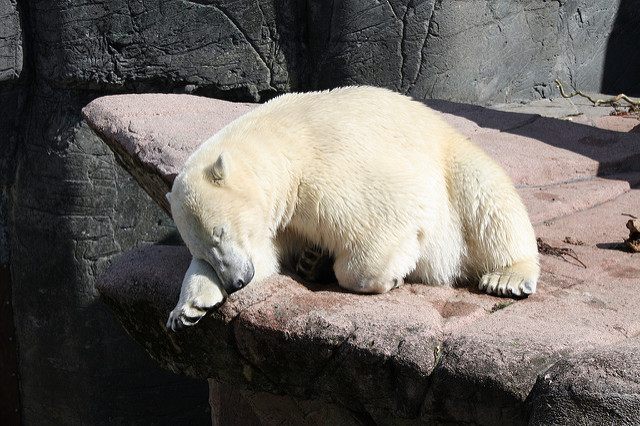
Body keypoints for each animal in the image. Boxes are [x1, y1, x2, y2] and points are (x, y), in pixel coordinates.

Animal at [166, 86, 540, 332]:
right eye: (200, 248)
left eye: (221, 231)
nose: (236, 282)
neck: (282, 144)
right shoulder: (283, 218)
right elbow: (265, 256)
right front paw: (187, 309)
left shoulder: (322, 171)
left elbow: (388, 211)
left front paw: (389, 276)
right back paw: (312, 260)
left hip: (453, 161)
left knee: (486, 196)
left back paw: (507, 277)